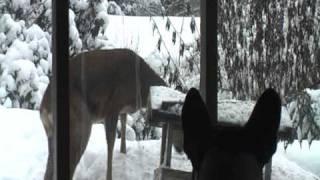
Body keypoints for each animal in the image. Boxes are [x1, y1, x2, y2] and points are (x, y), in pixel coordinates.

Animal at [39, 48, 168, 180]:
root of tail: (44, 108)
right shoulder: (113, 106)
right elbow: (111, 142)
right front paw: (109, 176)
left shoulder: (122, 110)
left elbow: (123, 126)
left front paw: (123, 153)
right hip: (81, 123)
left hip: (52, 133)